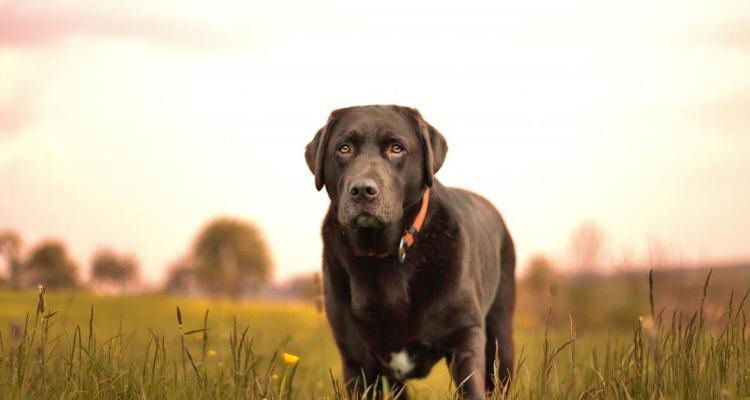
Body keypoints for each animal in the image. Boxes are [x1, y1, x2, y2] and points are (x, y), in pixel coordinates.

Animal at [306, 104, 516, 398]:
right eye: (344, 148)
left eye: (397, 148)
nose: (362, 190)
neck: (382, 256)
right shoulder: (356, 360)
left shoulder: (465, 334)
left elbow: (471, 386)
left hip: (501, 336)